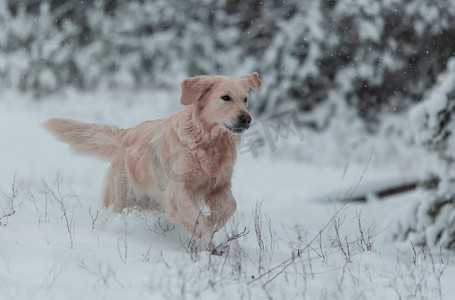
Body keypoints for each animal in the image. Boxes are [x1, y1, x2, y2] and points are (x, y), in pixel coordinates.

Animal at [45, 72, 264, 253]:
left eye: (245, 99)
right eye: (225, 97)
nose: (246, 119)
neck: (208, 142)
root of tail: (126, 134)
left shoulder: (219, 185)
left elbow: (230, 206)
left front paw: (213, 223)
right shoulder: (179, 191)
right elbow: (198, 218)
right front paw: (208, 241)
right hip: (121, 198)